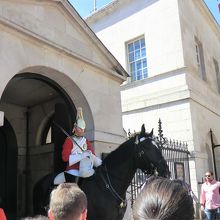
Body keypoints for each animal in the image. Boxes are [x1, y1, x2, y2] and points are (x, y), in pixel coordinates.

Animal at [33, 124, 170, 219]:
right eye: (145, 147)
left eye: (158, 146)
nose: (166, 172)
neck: (110, 185)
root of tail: (40, 181)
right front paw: (86, 154)